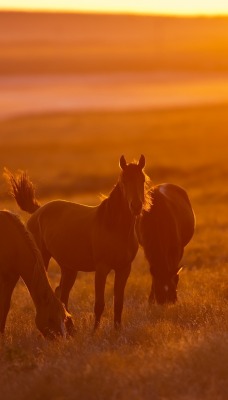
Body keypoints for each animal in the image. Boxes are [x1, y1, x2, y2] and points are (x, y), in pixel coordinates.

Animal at [5, 156, 151, 332]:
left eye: (142, 180)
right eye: (123, 181)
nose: (136, 206)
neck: (114, 227)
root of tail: (38, 211)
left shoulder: (124, 269)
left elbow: (118, 303)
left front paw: (117, 331)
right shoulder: (102, 269)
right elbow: (99, 304)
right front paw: (94, 332)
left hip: (69, 268)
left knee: (62, 293)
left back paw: (70, 327)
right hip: (44, 259)